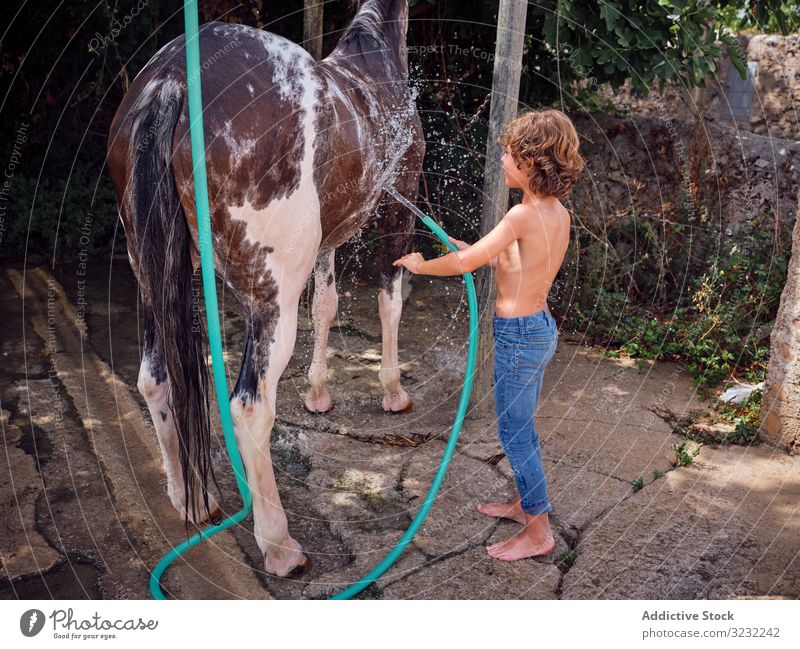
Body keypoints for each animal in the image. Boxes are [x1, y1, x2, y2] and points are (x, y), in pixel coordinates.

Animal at [106, 1, 424, 576]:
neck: (377, 56)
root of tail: (169, 79)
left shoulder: (329, 238)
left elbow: (327, 305)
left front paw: (318, 393)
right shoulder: (397, 206)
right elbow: (389, 303)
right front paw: (392, 392)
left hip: (154, 277)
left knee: (154, 378)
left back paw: (192, 500)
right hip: (271, 300)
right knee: (250, 407)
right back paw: (279, 545)